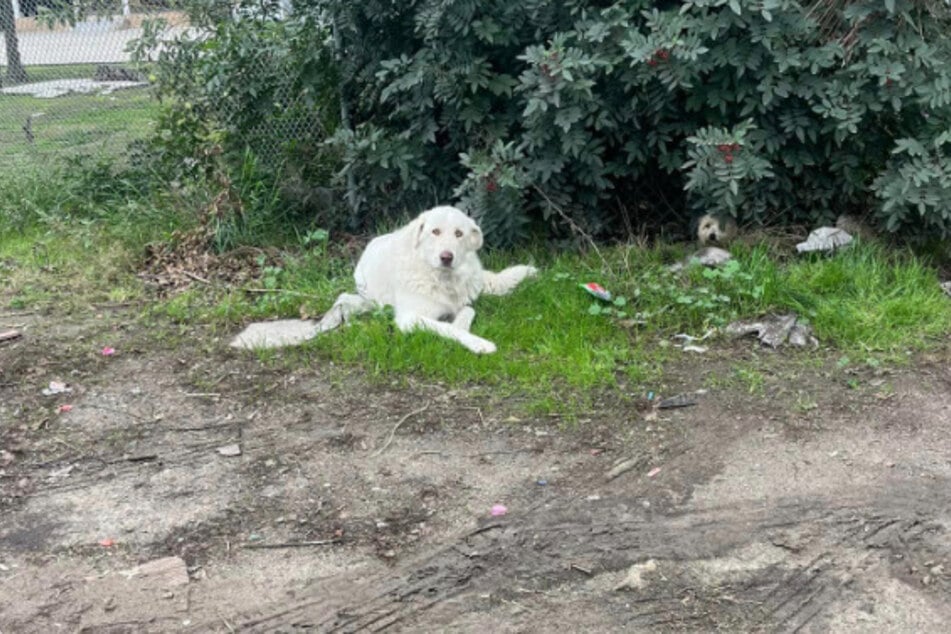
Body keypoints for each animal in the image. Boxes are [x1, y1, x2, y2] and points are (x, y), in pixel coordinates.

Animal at [316, 205, 540, 354]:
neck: (441, 279)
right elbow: (447, 327)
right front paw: (478, 343)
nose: (446, 257)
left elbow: (468, 310)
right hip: (370, 299)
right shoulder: (410, 318)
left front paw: (460, 324)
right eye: (435, 231)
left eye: (459, 233)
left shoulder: (463, 302)